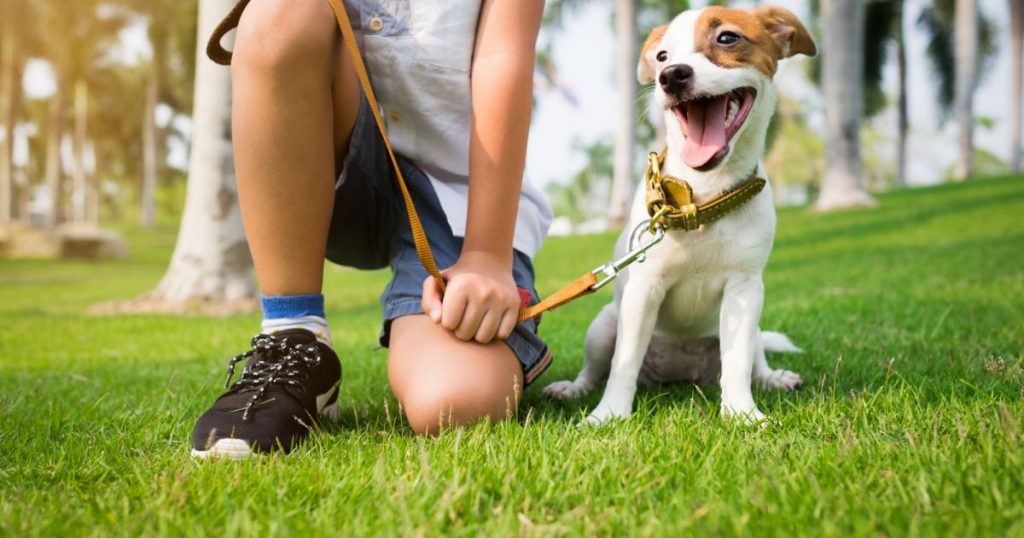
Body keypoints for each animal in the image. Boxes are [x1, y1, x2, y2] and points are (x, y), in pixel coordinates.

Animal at [544, 5, 815, 424]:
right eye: (661, 56)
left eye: (727, 38)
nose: (671, 76)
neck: (701, 199)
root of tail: (678, 375)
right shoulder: (644, 288)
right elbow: (623, 364)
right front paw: (608, 415)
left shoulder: (744, 291)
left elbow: (738, 363)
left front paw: (742, 413)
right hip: (603, 327)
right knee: (596, 368)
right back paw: (573, 389)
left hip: (752, 327)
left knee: (755, 359)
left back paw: (773, 378)